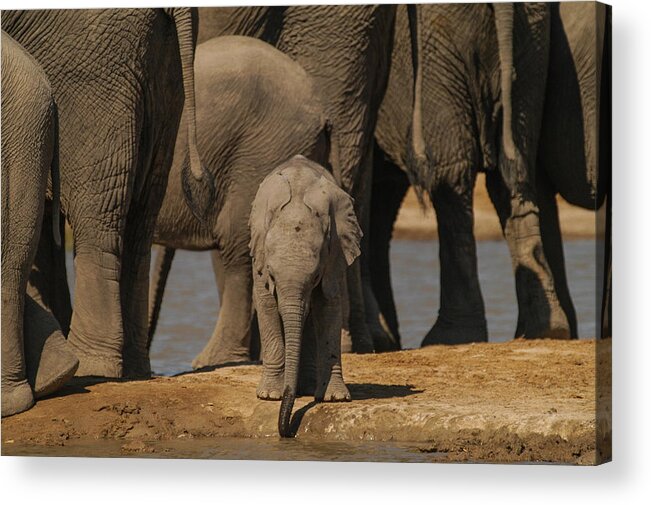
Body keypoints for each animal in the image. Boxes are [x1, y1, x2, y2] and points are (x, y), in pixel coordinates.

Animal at [1, 7, 209, 378]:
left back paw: (91, 367)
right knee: (142, 216)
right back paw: (134, 370)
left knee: (98, 217)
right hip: (163, 75)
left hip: (91, 66)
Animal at [248, 156, 362, 436]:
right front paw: (270, 396)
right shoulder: (260, 252)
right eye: (272, 275)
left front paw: (334, 399)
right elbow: (266, 304)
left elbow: (329, 308)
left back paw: (308, 389)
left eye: (315, 277)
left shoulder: (335, 255)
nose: (287, 431)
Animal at [372, 2, 572, 346]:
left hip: (435, 53)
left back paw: (450, 337)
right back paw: (547, 330)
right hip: (531, 47)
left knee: (453, 179)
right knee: (513, 173)